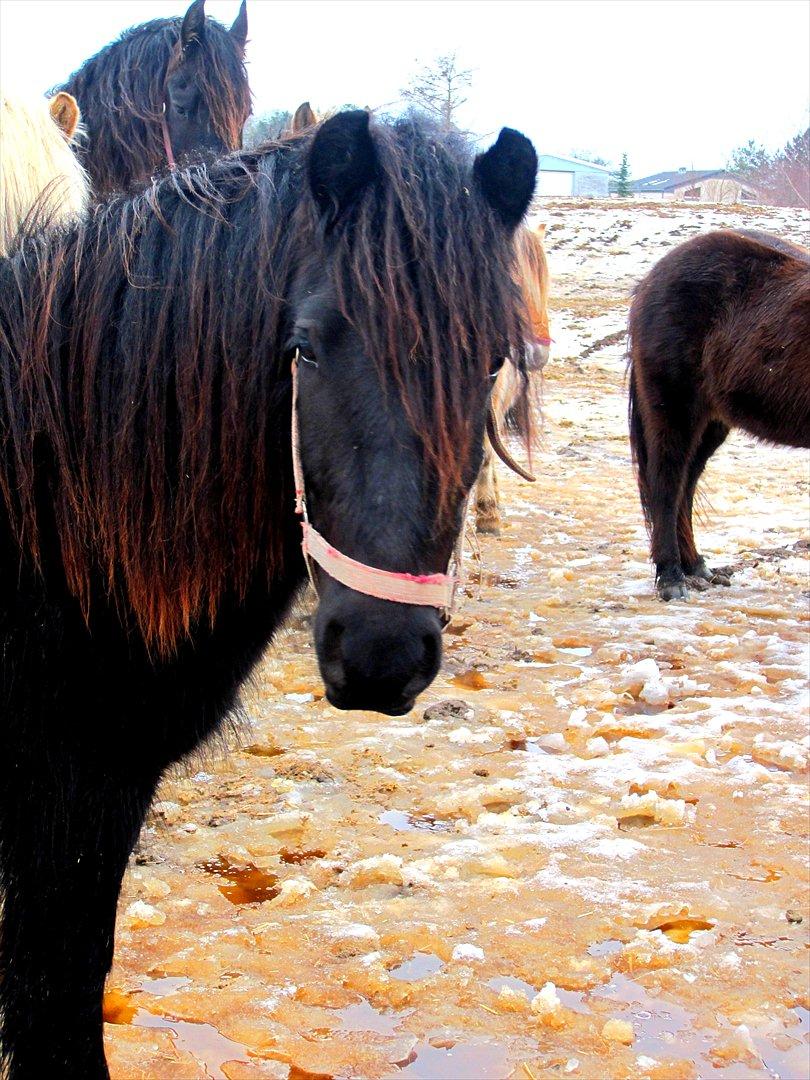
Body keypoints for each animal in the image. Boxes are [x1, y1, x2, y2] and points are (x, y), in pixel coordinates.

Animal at [628, 228, 810, 601]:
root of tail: (651, 280)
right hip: (674, 413)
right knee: (667, 483)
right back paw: (671, 577)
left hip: (710, 423)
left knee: (686, 485)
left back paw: (694, 565)